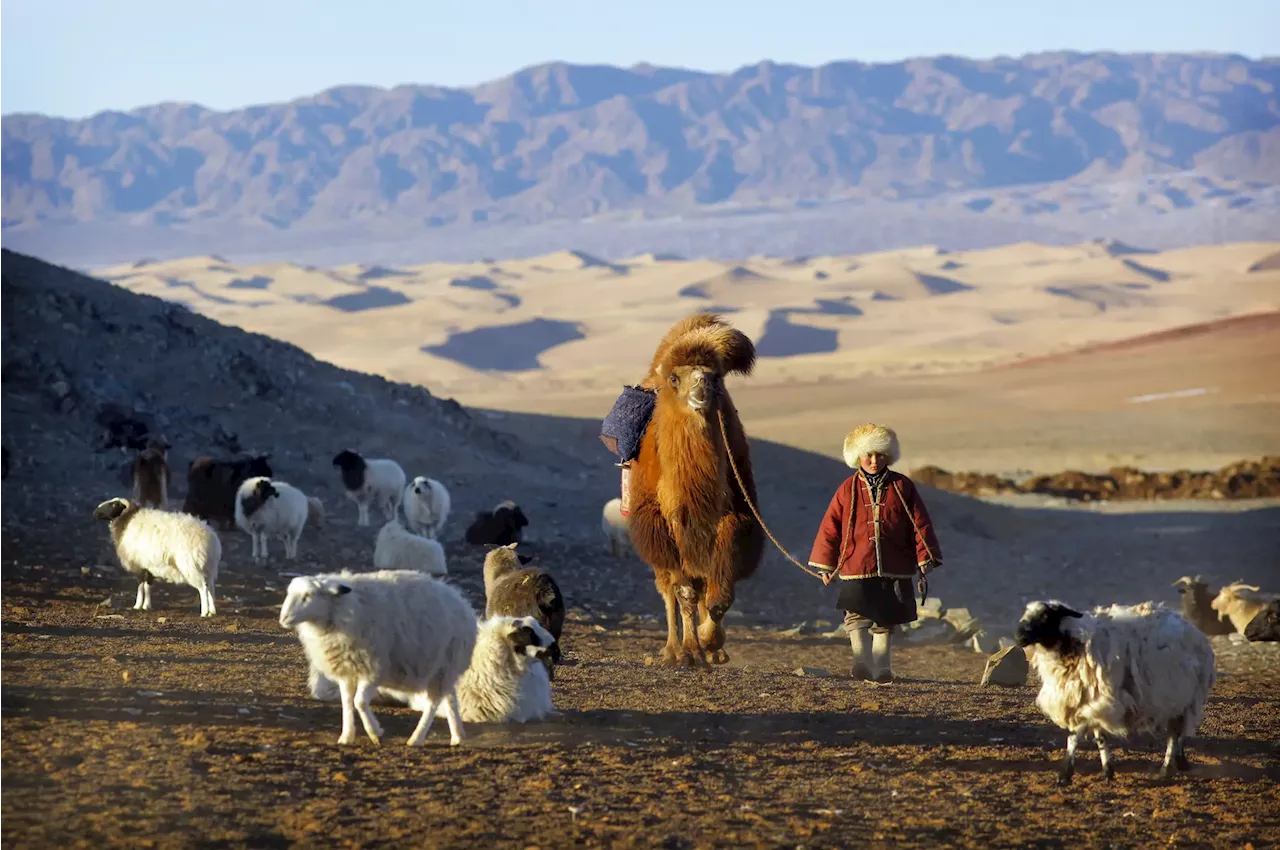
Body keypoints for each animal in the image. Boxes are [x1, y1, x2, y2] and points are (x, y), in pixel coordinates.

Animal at [93, 499, 224, 617]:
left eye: (114, 504)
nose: (95, 512)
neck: (127, 522)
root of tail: (210, 538)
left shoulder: (139, 565)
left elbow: (140, 585)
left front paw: (137, 606)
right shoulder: (148, 565)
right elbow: (147, 585)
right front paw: (146, 606)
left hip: (191, 565)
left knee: (203, 588)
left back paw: (204, 612)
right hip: (208, 566)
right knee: (211, 587)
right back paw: (212, 611)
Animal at [627, 314, 757, 665]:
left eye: (716, 377)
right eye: (675, 378)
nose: (700, 390)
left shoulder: (729, 519)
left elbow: (719, 591)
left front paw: (711, 643)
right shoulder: (667, 524)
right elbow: (683, 592)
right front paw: (689, 651)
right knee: (669, 589)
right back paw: (674, 649)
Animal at [1013, 596, 1213, 783]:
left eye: (1046, 615)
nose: (1019, 636)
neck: (1072, 645)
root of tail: (1194, 630)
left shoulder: (1098, 703)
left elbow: (1073, 738)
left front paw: (1065, 775)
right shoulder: (1091, 700)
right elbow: (1100, 739)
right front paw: (1107, 771)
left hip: (1186, 698)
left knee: (1174, 735)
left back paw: (1167, 767)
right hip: (1177, 700)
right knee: (1176, 733)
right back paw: (1178, 762)